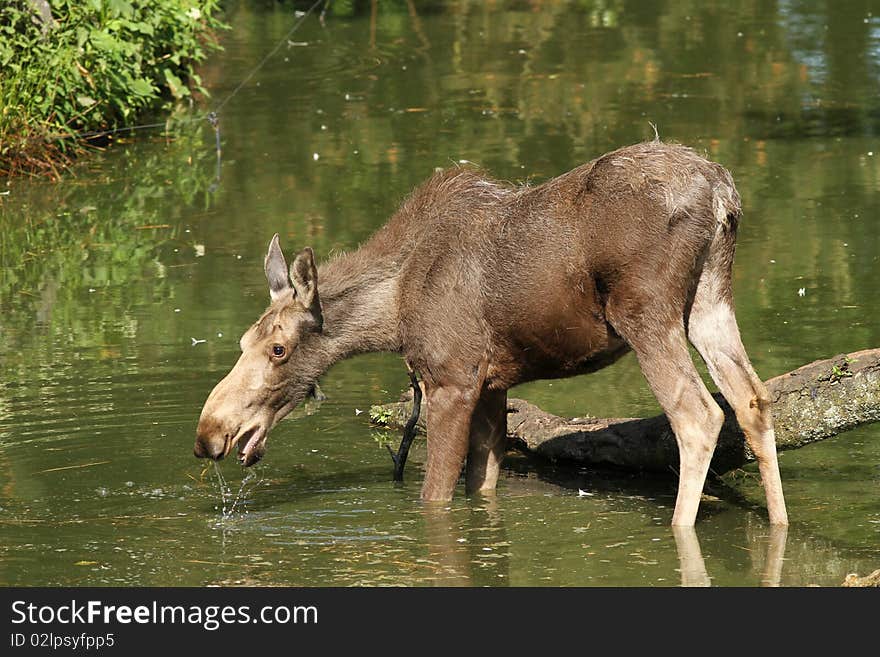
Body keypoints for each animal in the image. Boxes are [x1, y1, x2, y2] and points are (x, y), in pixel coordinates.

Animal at [196, 141, 788, 524]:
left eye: (279, 349)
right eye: (243, 343)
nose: (209, 433)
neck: (393, 309)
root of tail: (722, 193)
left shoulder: (452, 380)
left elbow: (435, 497)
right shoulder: (493, 385)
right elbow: (482, 487)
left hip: (646, 311)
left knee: (698, 414)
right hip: (710, 301)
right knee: (752, 399)